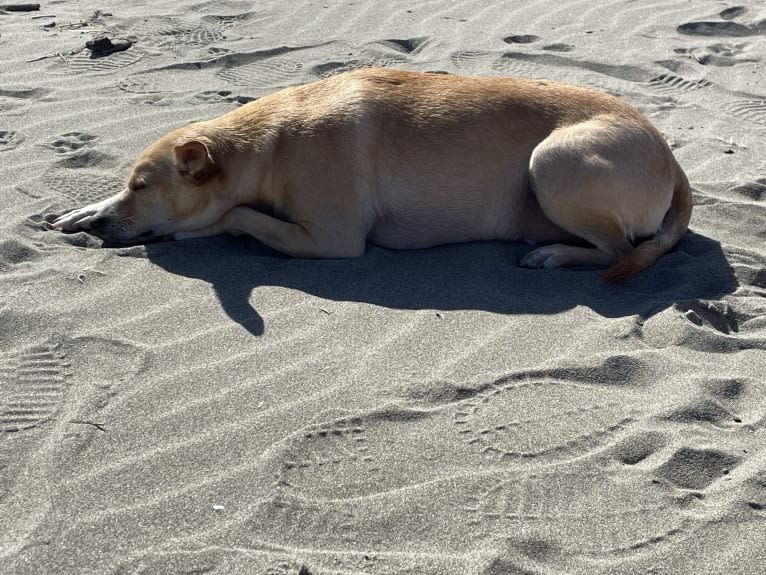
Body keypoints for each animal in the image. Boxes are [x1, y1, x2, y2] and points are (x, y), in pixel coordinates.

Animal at [51, 68, 692, 280]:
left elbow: (236, 214)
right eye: (127, 184)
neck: (269, 145)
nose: (106, 226)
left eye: (143, 188)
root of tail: (672, 157)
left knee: (618, 249)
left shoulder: (332, 239)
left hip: (553, 162)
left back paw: (556, 256)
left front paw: (197, 228)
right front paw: (85, 211)